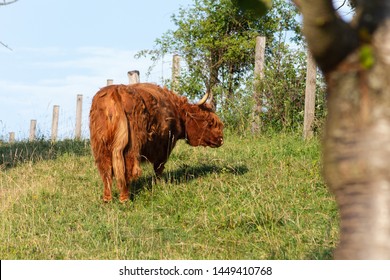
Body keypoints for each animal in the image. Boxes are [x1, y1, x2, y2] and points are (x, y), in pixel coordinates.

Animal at [88, 82, 222, 202]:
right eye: (210, 122)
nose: (221, 139)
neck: (176, 110)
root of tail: (115, 91)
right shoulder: (165, 147)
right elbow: (158, 168)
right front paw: (159, 184)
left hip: (101, 146)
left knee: (106, 170)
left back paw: (107, 199)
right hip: (131, 146)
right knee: (126, 167)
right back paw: (125, 198)